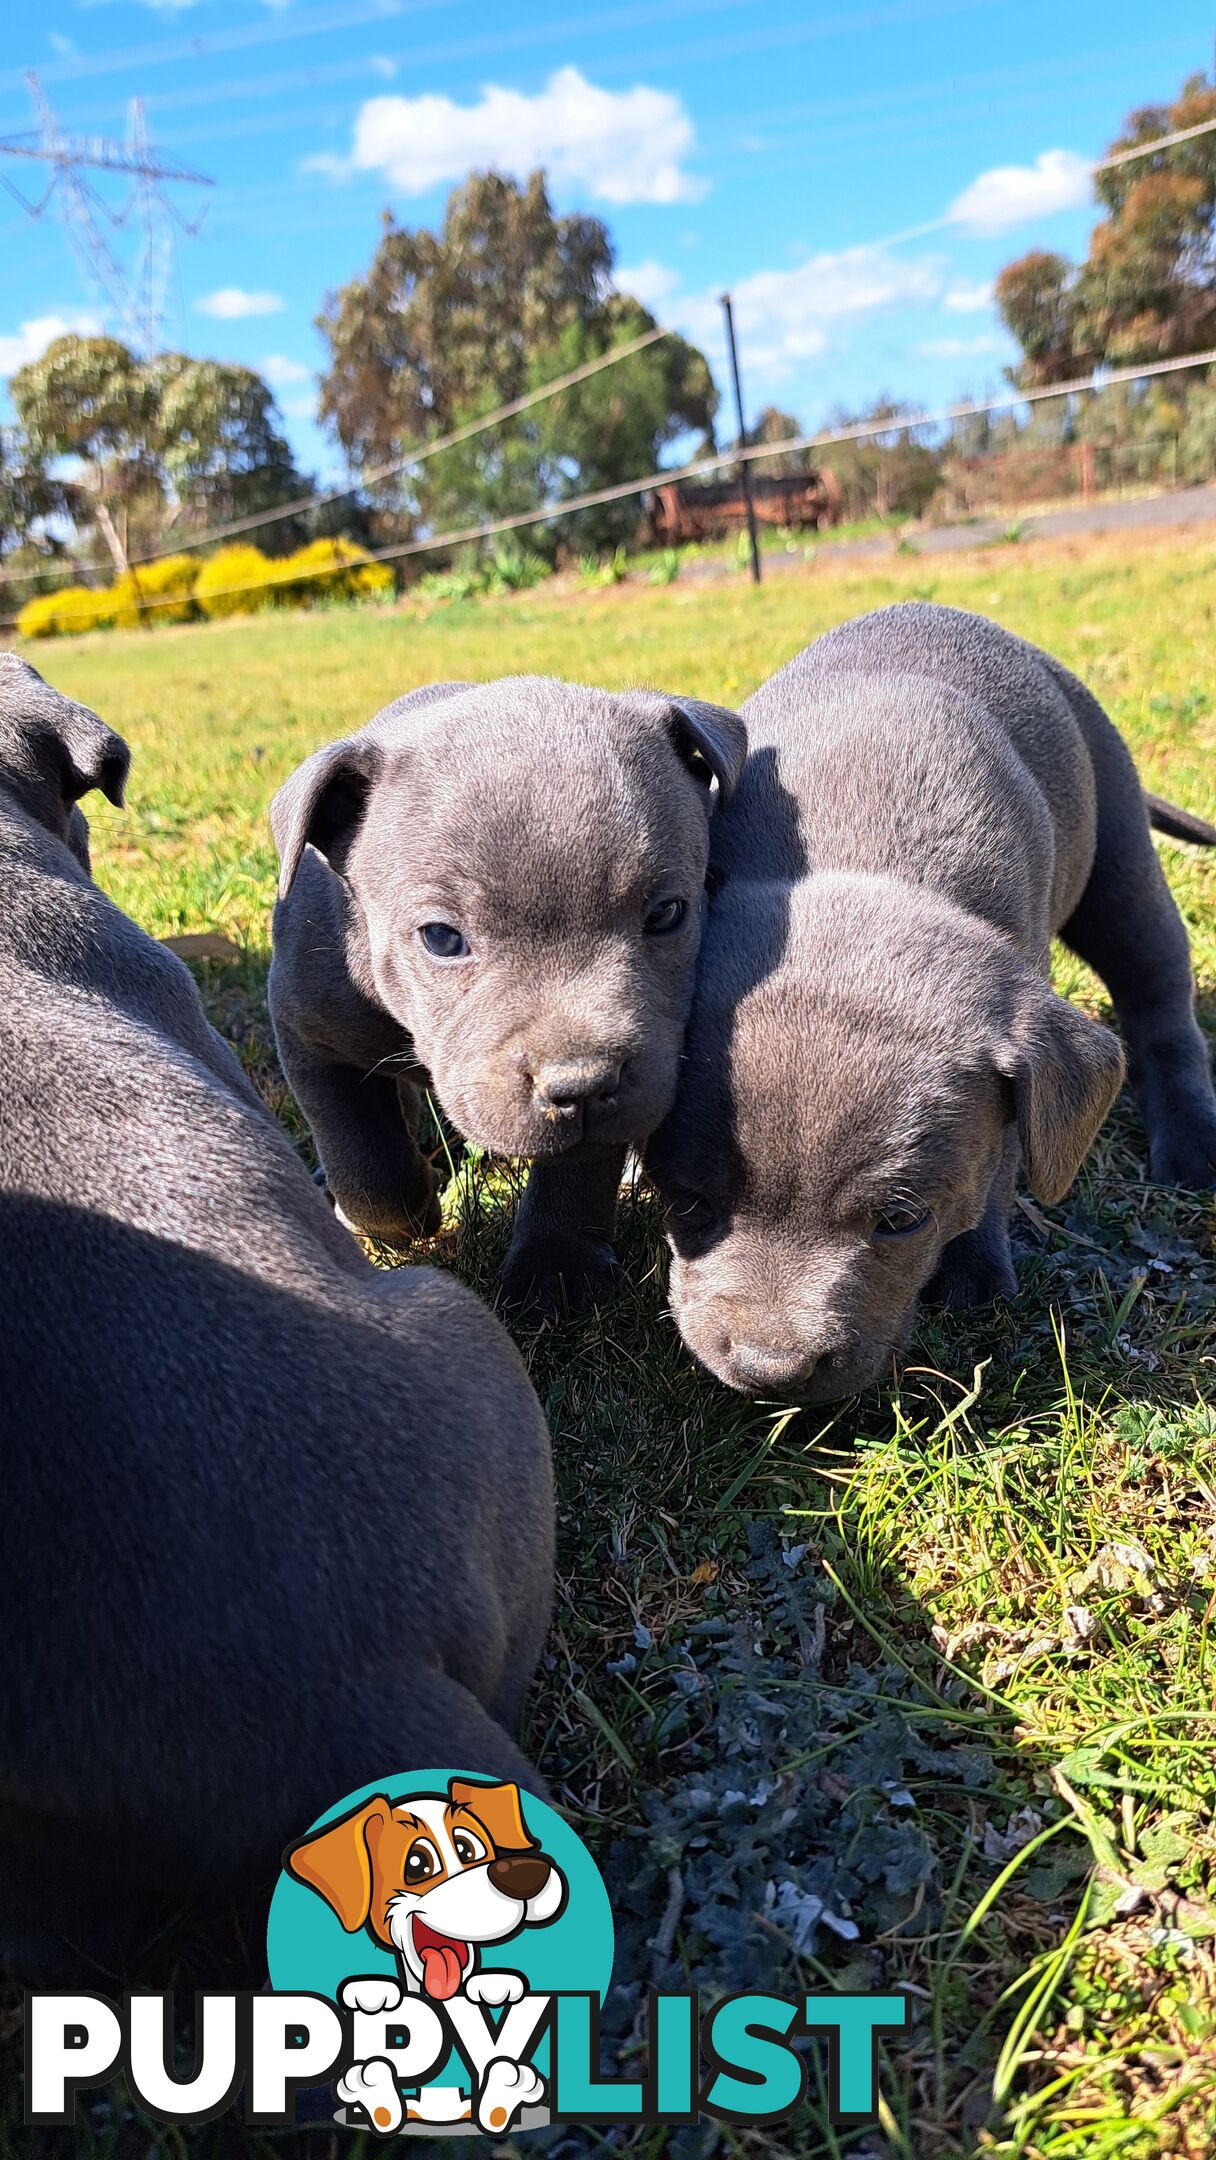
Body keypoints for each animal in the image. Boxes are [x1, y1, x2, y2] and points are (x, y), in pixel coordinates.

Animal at [266, 682, 742, 1304]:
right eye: (441, 938)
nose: (582, 1087)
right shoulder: (308, 1032)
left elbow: (578, 1167)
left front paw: (555, 1268)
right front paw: (404, 1216)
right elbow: (367, 1162)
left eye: (666, 914)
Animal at [647, 604, 1216, 1399]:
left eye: (902, 1220)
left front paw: (975, 1266)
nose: (774, 1370)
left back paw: (1193, 1144)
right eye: (688, 1202)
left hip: (1120, 861)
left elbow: (1003, 1160)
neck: (858, 856)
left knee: (1161, 1000)